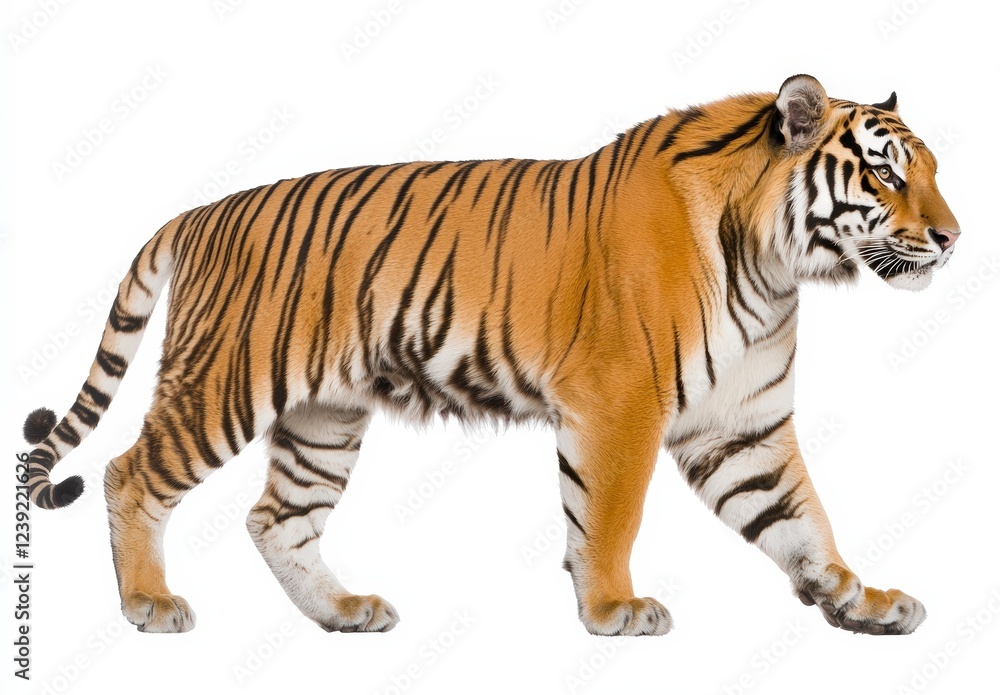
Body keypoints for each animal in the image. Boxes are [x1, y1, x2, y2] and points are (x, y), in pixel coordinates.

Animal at [21, 74, 959, 636]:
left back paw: (343, 611)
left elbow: (804, 520)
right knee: (129, 473)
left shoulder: (743, 426)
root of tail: (197, 214)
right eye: (884, 174)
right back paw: (149, 601)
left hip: (324, 415)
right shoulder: (618, 403)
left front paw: (858, 598)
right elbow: (609, 515)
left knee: (275, 518)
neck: (775, 267)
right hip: (224, 383)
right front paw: (614, 607)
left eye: (933, 171)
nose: (953, 237)